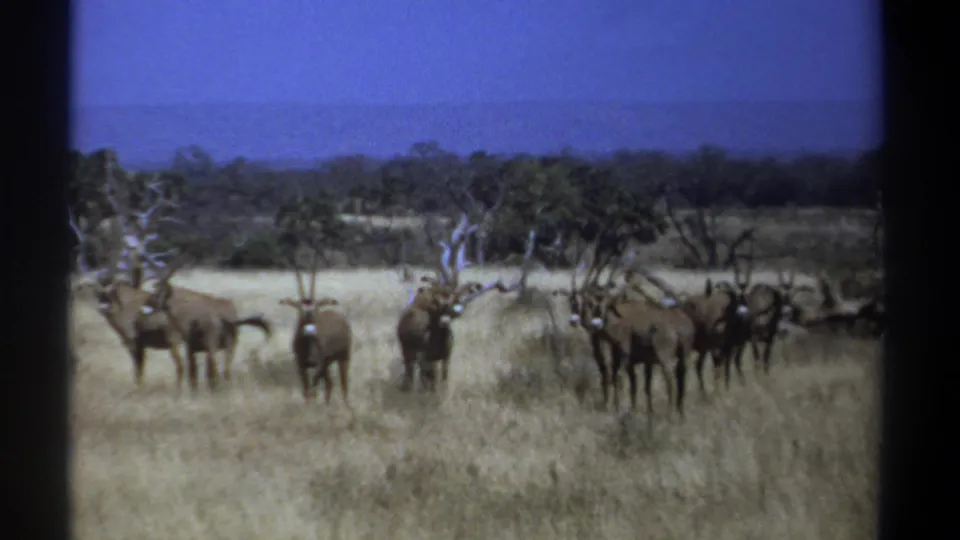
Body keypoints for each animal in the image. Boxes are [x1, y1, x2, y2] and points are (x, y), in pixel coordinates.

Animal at [140, 257, 273, 392]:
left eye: (156, 292)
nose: (146, 301)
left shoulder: (194, 349)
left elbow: (195, 374)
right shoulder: (192, 350)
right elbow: (194, 375)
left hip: (216, 347)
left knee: (214, 371)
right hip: (226, 347)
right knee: (223, 370)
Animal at [278, 249, 353, 405]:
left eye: (316, 306)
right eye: (299, 307)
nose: (308, 317)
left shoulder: (318, 365)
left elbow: (313, 387)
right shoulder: (301, 365)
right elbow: (306, 389)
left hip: (343, 358)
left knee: (343, 384)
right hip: (327, 364)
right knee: (330, 384)